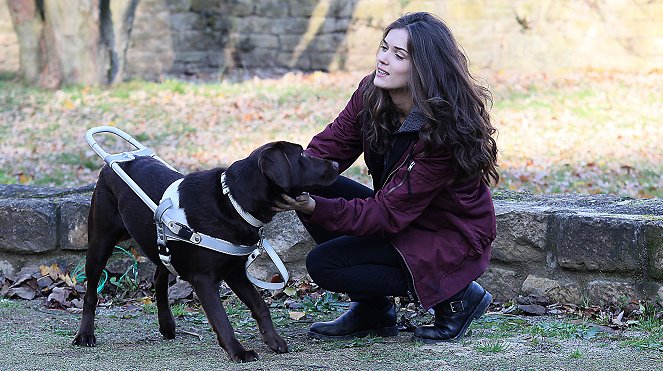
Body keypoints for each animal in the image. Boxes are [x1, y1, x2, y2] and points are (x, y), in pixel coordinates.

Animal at [74, 141, 338, 362]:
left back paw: (167, 325)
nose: (336, 164)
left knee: (159, 278)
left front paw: (273, 340)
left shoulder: (236, 273)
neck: (232, 201)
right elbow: (221, 318)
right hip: (100, 241)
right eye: (302, 155)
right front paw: (238, 352)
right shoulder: (204, 280)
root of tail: (118, 160)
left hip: (161, 244)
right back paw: (85, 335)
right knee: (91, 293)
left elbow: (260, 306)